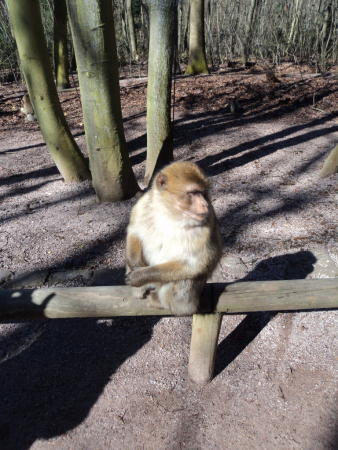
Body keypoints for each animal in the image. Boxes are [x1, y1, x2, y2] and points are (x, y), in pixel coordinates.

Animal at [125, 163, 223, 316]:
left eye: (203, 192)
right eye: (194, 192)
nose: (205, 204)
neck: (170, 214)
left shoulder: (207, 223)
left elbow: (195, 264)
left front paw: (141, 275)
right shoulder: (143, 205)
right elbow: (134, 232)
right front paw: (135, 265)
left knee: (186, 277)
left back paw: (166, 304)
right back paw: (139, 290)